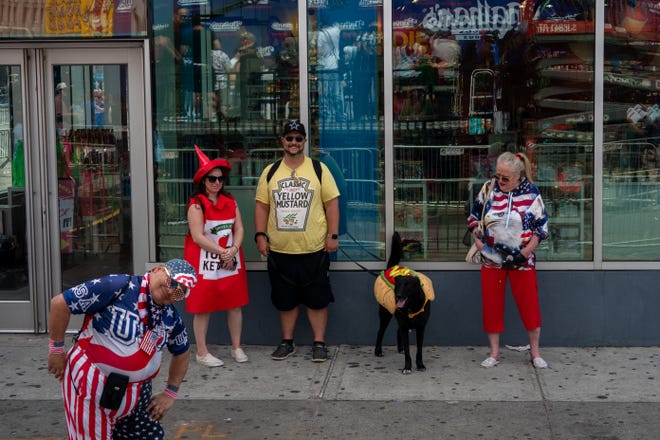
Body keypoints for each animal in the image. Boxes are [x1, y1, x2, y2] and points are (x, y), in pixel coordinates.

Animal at [376, 232, 434, 372]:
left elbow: (419, 349)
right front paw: (407, 367)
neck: (411, 306)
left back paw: (400, 348)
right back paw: (378, 351)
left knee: (397, 330)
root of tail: (391, 267)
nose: (397, 296)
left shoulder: (421, 327)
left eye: (408, 286)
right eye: (398, 285)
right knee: (380, 331)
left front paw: (420, 365)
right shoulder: (404, 326)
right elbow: (408, 351)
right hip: (385, 314)